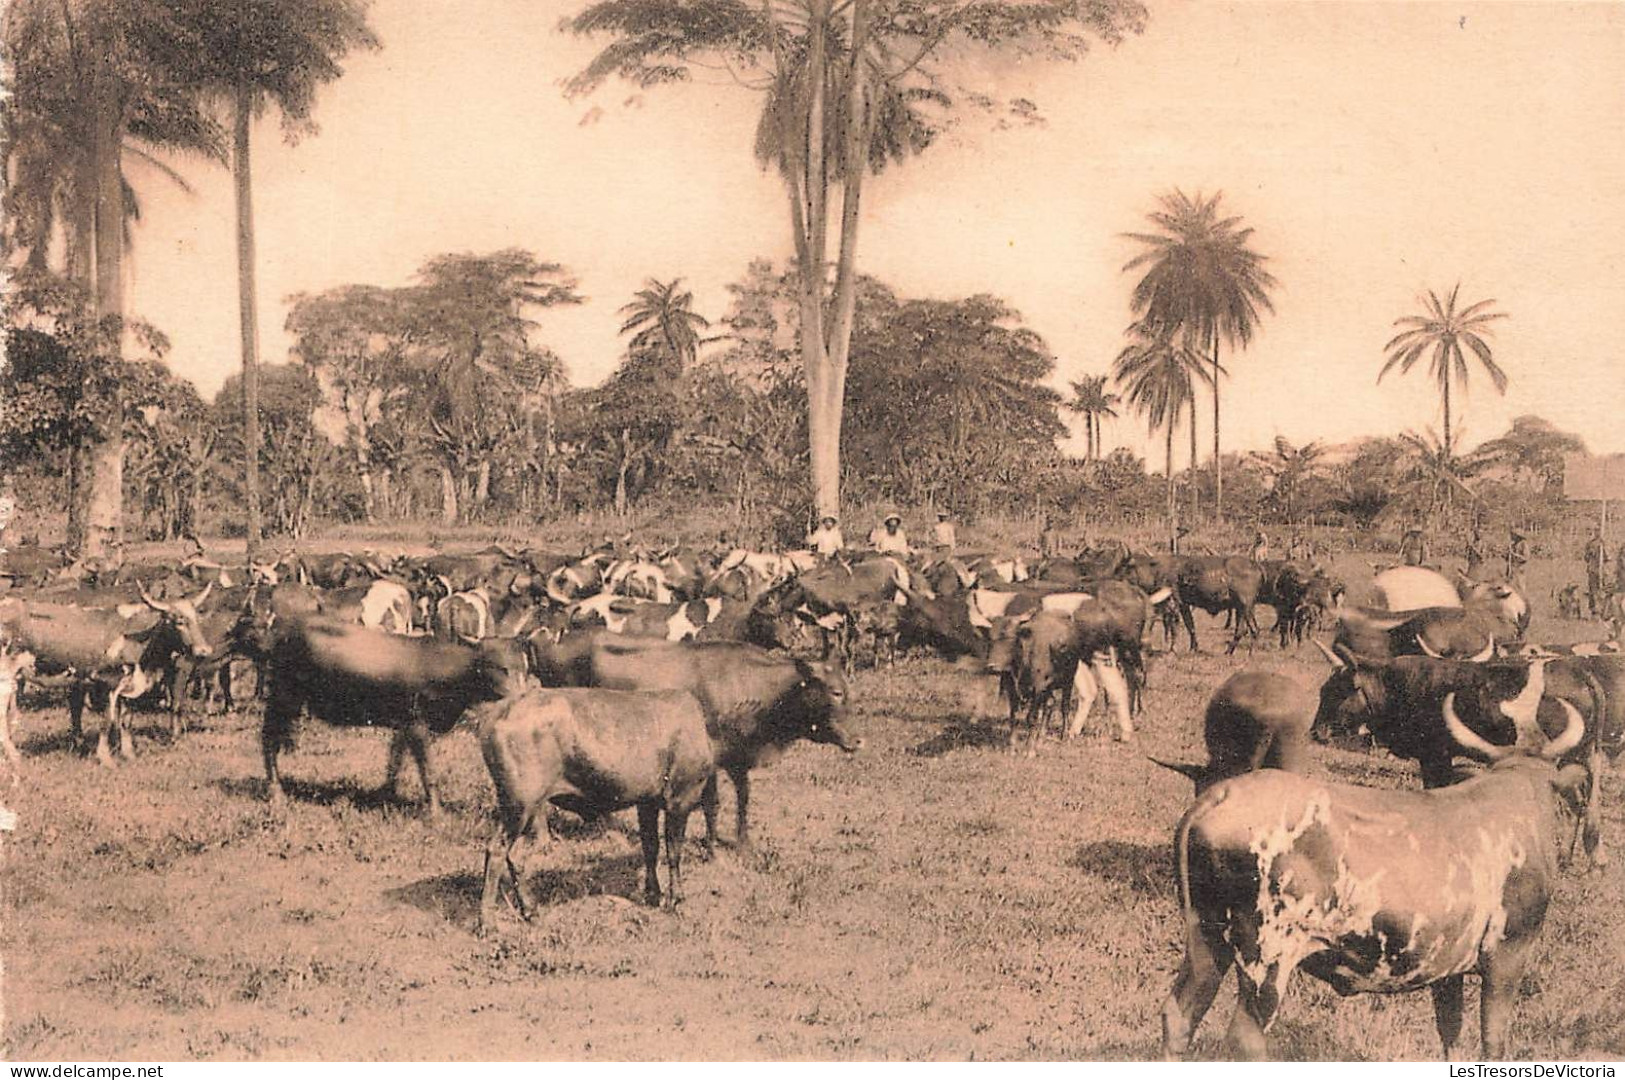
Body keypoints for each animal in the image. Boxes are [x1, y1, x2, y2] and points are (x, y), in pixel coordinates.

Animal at [0, 584, 214, 763]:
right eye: (178, 621)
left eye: (196, 618)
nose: (204, 650)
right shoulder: (107, 682)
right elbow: (107, 720)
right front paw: (105, 758)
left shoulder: (127, 683)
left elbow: (126, 720)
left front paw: (128, 754)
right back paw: (14, 755)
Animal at [263, 613, 523, 808]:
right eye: (493, 665)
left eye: (522, 665)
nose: (513, 694)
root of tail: (284, 629)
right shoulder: (416, 722)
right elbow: (427, 770)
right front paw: (435, 814)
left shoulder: (404, 723)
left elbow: (396, 759)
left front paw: (387, 792)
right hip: (283, 697)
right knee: (269, 740)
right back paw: (276, 792)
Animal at [585, 636, 864, 857]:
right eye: (836, 692)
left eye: (849, 688)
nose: (858, 740)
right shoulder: (709, 759)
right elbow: (712, 803)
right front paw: (711, 850)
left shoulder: (737, 758)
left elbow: (744, 796)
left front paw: (744, 845)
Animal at [1163, 753, 1592, 1058]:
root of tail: (1222, 793)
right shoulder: (1509, 953)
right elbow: (1494, 1041)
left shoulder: (1446, 966)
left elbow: (1451, 1034)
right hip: (1267, 952)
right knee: (1244, 1037)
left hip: (1206, 936)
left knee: (1180, 1013)